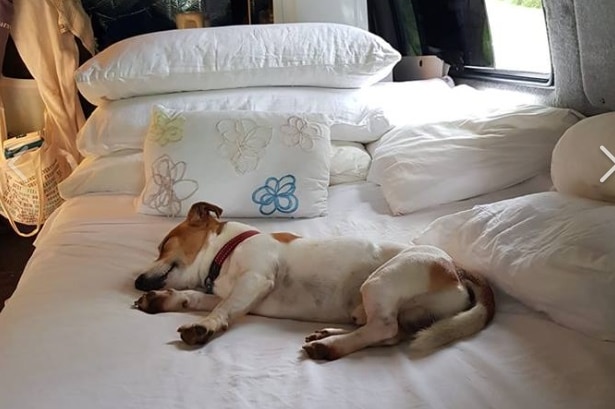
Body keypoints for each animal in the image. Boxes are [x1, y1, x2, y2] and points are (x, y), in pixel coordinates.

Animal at [135, 200, 496, 356]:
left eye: (163, 245)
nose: (137, 281)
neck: (225, 252)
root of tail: (457, 268)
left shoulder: (254, 279)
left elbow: (220, 310)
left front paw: (204, 327)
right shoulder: (233, 291)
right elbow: (197, 298)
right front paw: (164, 299)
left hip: (381, 281)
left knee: (384, 327)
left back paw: (329, 346)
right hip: (389, 307)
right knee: (388, 333)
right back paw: (331, 336)